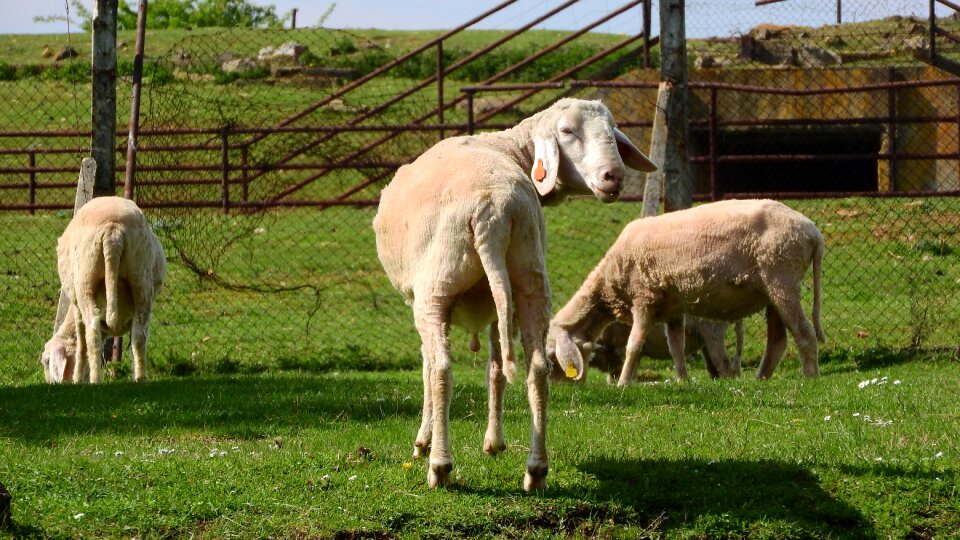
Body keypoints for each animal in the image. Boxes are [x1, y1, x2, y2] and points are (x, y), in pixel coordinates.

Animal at [40, 196, 167, 386]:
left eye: (46, 362)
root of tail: (113, 232)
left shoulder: (76, 306)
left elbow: (81, 343)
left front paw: (78, 377)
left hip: (85, 282)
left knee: (92, 333)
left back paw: (95, 380)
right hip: (142, 280)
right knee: (139, 334)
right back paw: (139, 378)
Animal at [372, 97, 656, 490]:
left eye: (612, 131)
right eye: (567, 131)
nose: (614, 176)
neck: (510, 148)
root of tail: (492, 210)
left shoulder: (417, 298)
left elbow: (429, 367)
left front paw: (422, 442)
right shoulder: (498, 305)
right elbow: (495, 368)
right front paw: (494, 442)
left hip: (436, 289)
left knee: (441, 369)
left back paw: (439, 466)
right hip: (529, 278)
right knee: (537, 369)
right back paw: (535, 470)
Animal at [548, 198, 824, 384]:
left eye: (552, 358)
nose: (559, 388)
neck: (607, 283)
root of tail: (812, 231)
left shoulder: (644, 299)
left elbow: (633, 345)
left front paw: (623, 383)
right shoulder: (672, 307)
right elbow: (676, 348)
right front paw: (683, 380)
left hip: (782, 278)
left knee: (803, 331)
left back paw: (810, 376)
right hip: (771, 290)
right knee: (778, 339)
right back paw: (762, 378)